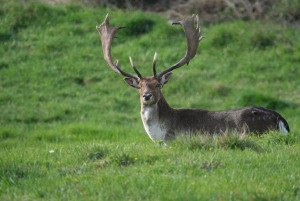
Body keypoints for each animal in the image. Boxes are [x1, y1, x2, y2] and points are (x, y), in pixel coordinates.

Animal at [96, 14, 288, 142]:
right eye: (140, 86)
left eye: (158, 85)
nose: (147, 96)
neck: (161, 135)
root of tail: (282, 120)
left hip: (251, 131)